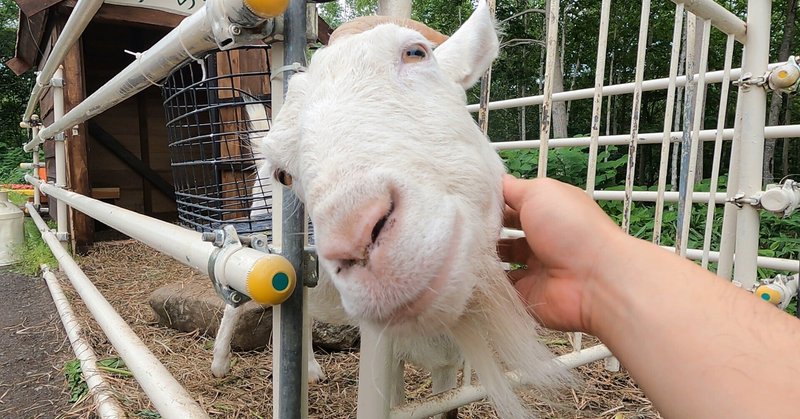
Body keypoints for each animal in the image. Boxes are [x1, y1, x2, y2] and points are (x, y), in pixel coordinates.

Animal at [214, 2, 568, 416]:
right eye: (285, 173)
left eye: (416, 52)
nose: (356, 237)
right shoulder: (390, 361)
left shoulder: (450, 363)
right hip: (261, 256)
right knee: (237, 300)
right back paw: (220, 362)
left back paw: (311, 370)